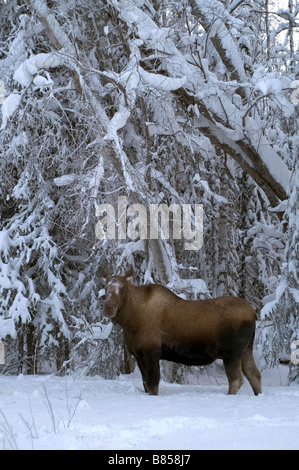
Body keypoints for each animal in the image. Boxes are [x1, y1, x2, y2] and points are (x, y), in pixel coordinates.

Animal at [102, 266, 262, 394]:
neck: (129, 321)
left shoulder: (151, 352)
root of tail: (253, 313)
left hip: (232, 353)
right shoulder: (138, 355)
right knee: (254, 374)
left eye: (123, 287)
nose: (108, 309)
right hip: (246, 349)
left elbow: (153, 386)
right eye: (105, 288)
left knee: (237, 379)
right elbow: (146, 384)